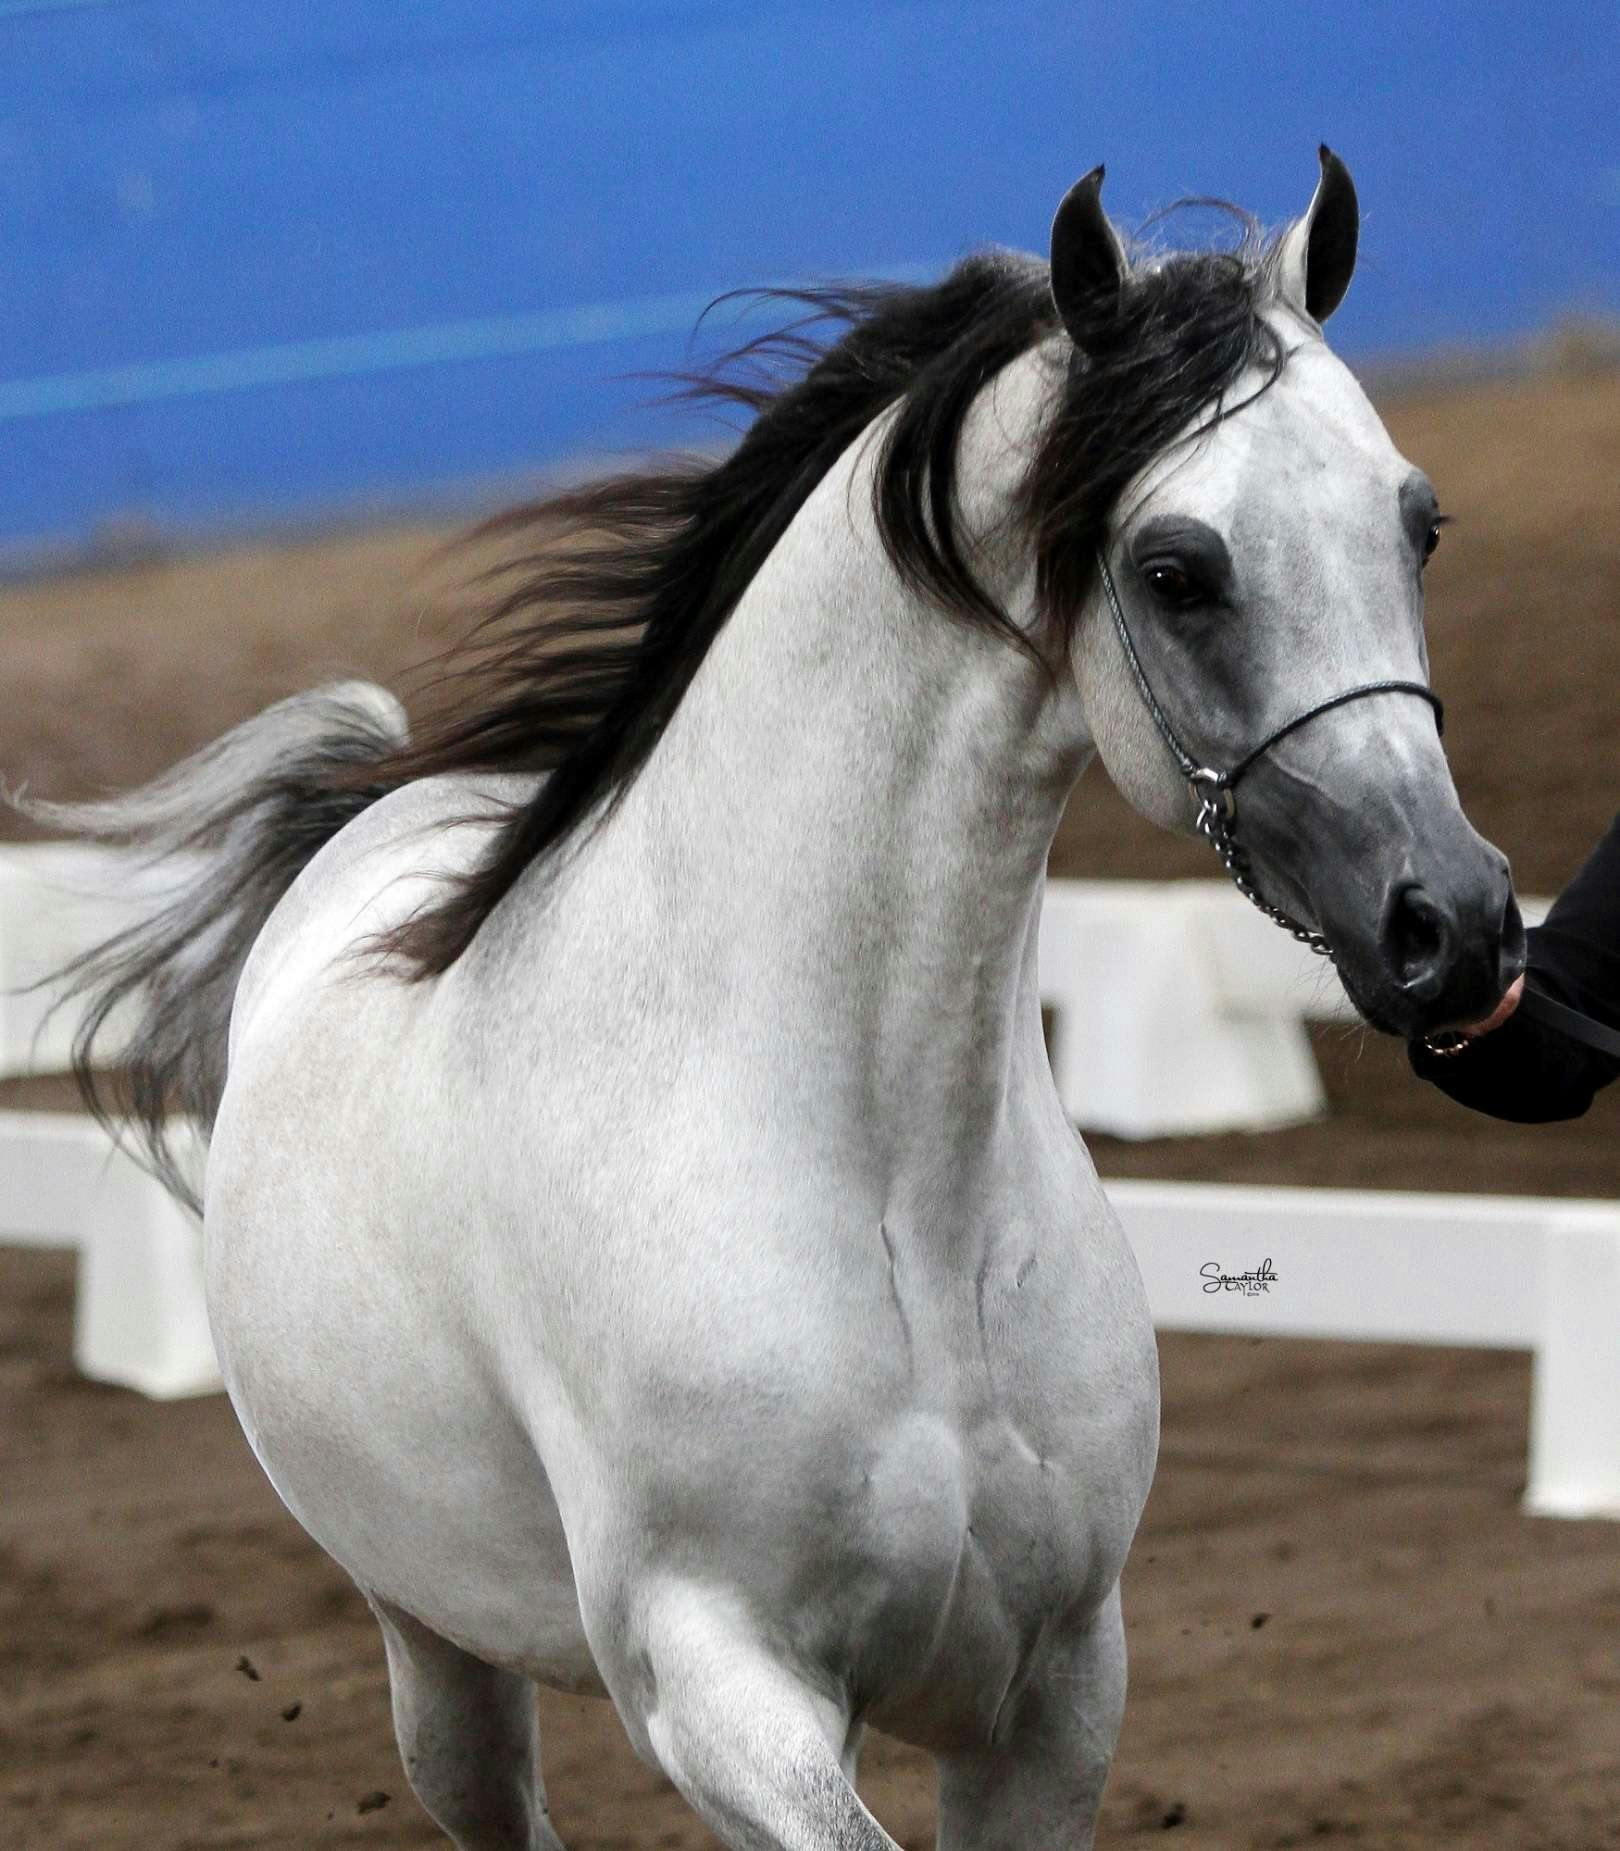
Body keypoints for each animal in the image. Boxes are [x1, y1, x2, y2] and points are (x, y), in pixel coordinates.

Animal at [34, 151, 1518, 1843]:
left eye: (1418, 525)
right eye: (1176, 571)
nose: (1454, 924)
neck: (895, 1202)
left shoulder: (1057, 1694)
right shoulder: (718, 1682)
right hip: (436, 1643)